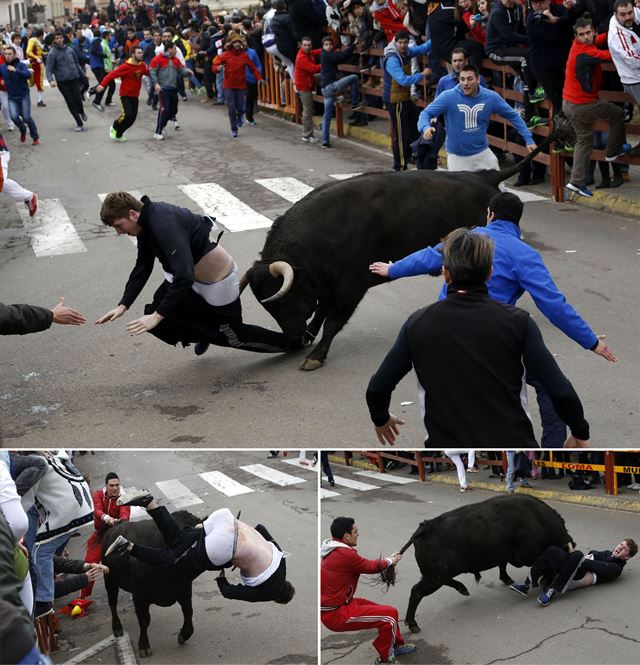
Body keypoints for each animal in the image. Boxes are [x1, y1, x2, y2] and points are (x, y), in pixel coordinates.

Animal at [100, 510, 220, 656]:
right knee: (112, 603)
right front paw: (144, 646)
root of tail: (113, 527)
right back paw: (117, 627)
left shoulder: (183, 588)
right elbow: (144, 619)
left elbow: (188, 611)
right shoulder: (139, 595)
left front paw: (184, 634)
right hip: (110, 581)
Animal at [242, 138, 552, 370]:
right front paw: (310, 337)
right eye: (268, 306)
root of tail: (483, 177)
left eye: (283, 299)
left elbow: (331, 320)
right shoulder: (327, 287)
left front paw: (315, 355)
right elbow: (321, 313)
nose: (293, 338)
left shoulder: (350, 286)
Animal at [384, 492, 576, 632]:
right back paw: (413, 624)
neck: (539, 520)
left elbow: (503, 564)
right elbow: (539, 564)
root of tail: (425, 527)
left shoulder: (505, 555)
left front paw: (507, 579)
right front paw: (545, 580)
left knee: (442, 582)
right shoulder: (524, 557)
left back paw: (463, 589)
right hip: (435, 577)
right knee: (416, 592)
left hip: (436, 575)